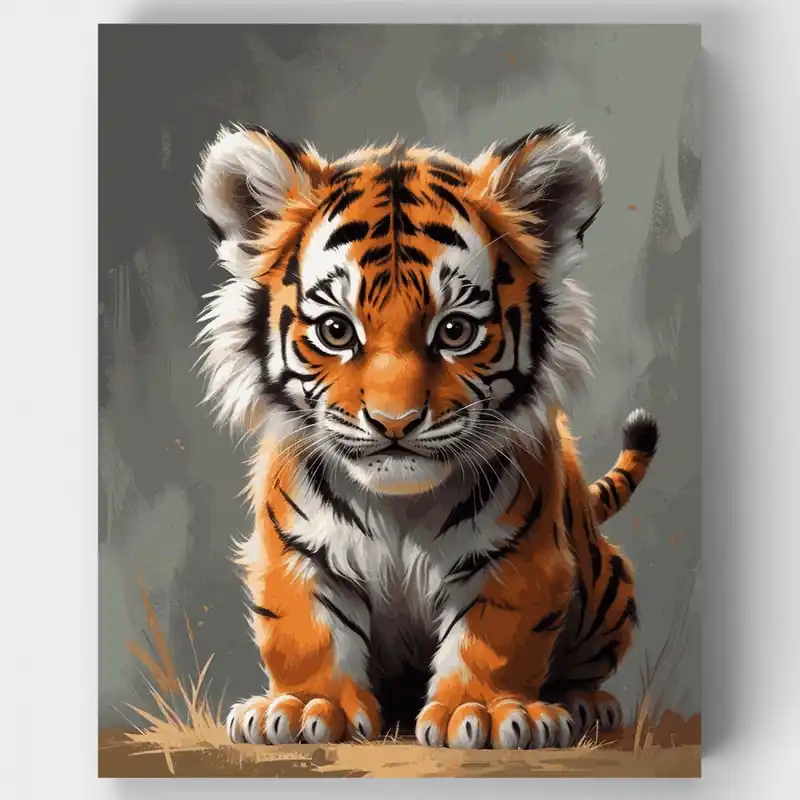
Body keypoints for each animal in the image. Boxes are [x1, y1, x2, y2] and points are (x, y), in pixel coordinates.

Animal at [194, 122, 660, 750]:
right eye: (336, 330)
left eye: (455, 331)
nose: (394, 423)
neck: (399, 510)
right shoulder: (296, 550)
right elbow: (307, 629)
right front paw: (305, 706)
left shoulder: (515, 556)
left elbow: (495, 636)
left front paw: (484, 713)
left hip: (609, 586)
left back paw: (587, 705)